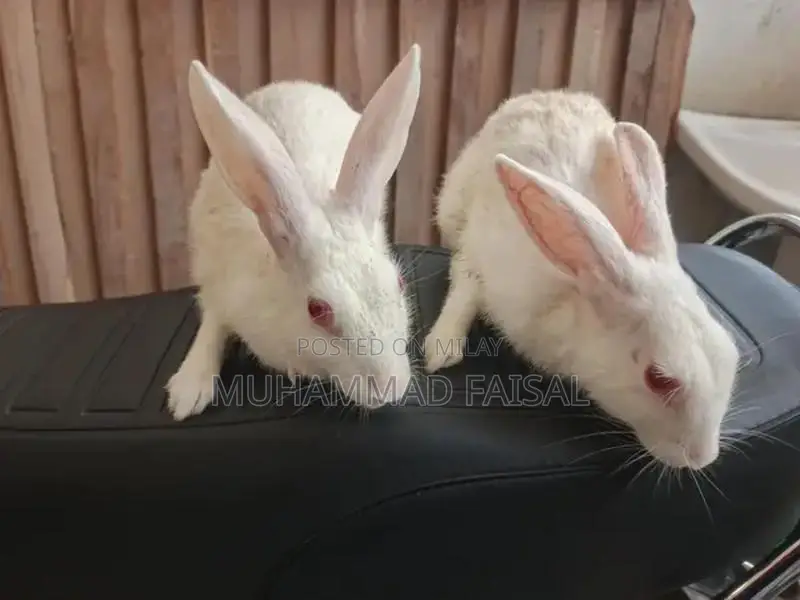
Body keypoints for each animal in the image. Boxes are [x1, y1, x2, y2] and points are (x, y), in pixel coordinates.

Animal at [165, 44, 422, 421]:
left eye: (400, 284)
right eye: (317, 310)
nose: (390, 387)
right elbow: (212, 322)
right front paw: (187, 392)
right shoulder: (218, 283)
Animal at [423, 89, 740, 471]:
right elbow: (465, 286)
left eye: (731, 354)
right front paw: (441, 350)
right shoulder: (479, 248)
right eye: (658, 379)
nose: (703, 457)